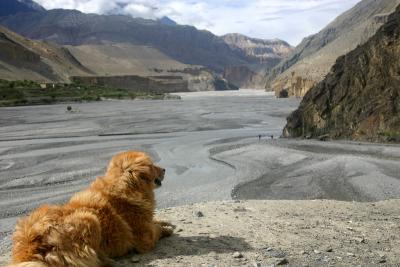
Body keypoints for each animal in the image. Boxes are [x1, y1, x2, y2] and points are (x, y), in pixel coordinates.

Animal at [6, 152, 172, 266]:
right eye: (153, 165)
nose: (165, 169)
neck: (126, 188)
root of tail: (29, 246)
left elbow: (155, 221)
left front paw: (164, 222)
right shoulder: (145, 238)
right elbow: (156, 230)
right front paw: (166, 229)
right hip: (90, 219)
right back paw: (106, 259)